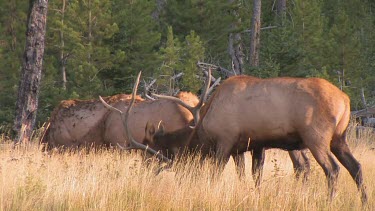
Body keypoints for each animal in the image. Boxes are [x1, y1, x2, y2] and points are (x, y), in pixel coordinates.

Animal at [141, 74, 368, 203]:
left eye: (181, 165)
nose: (181, 184)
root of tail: (345, 100)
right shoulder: (256, 144)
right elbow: (255, 175)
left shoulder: (226, 141)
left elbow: (216, 173)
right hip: (339, 138)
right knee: (355, 166)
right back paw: (364, 201)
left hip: (316, 137)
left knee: (332, 169)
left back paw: (329, 201)